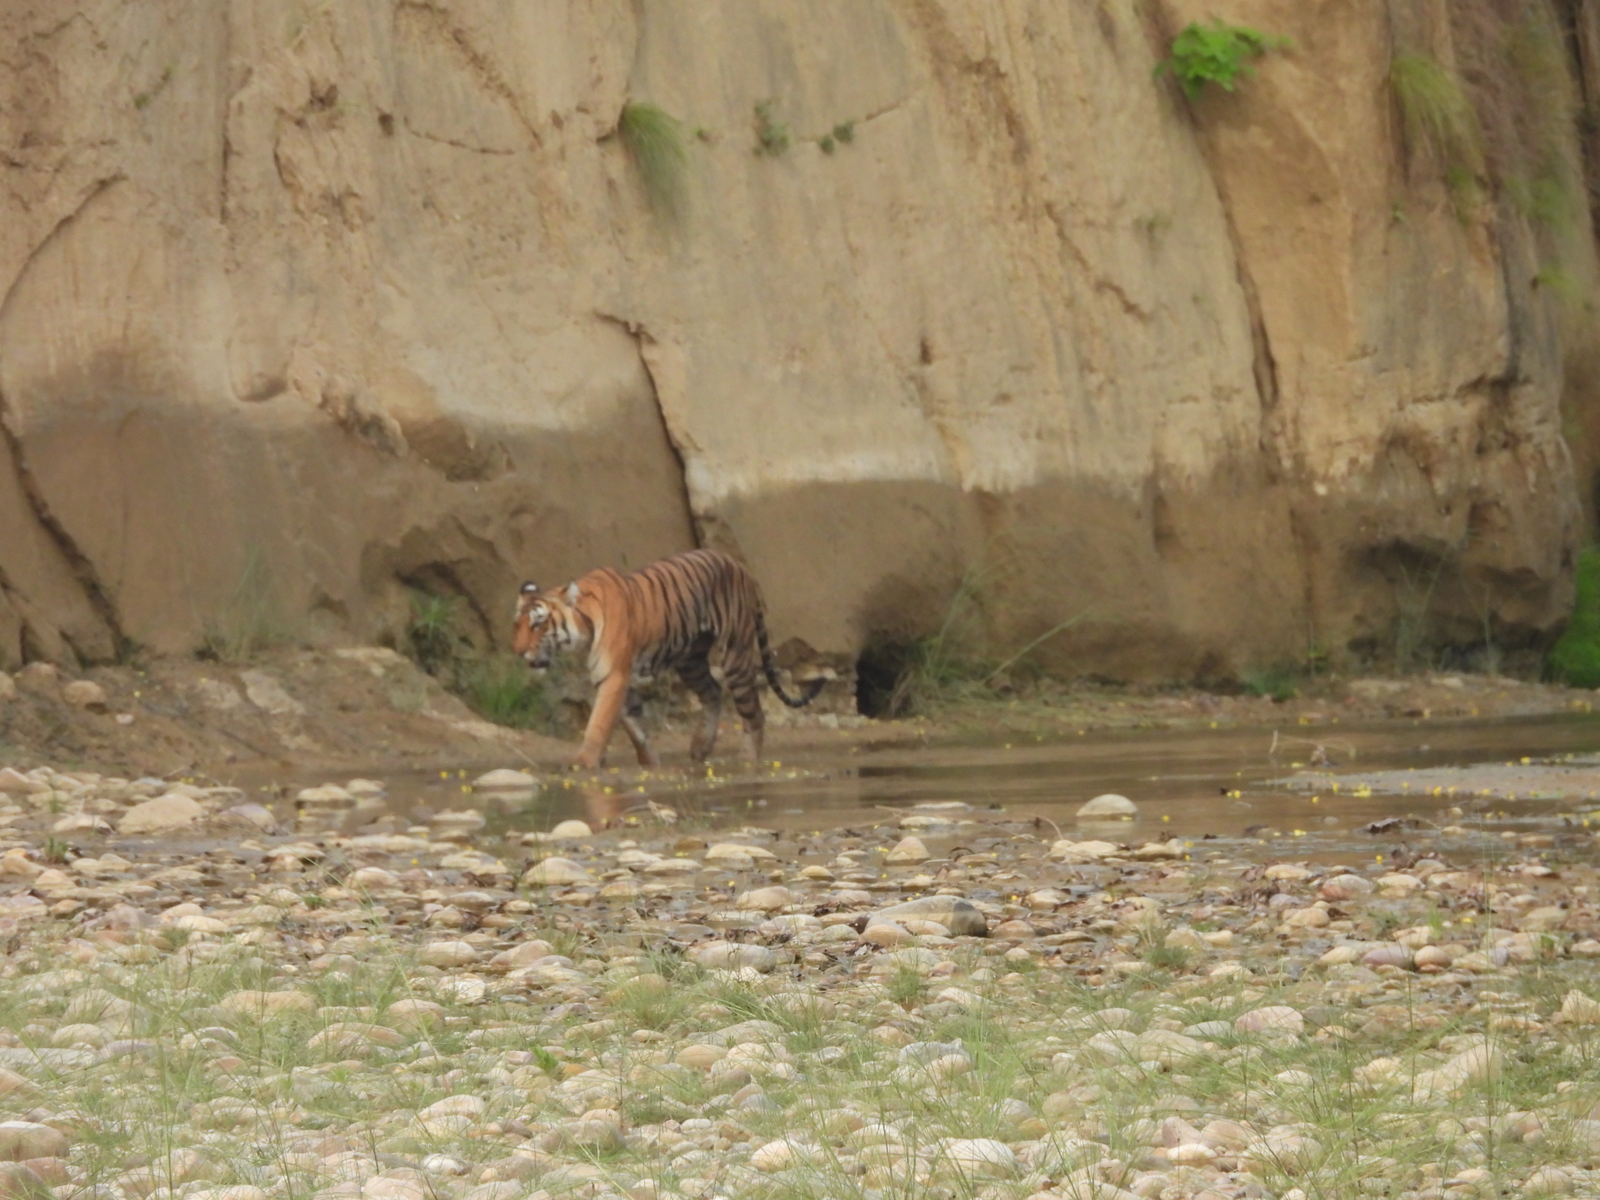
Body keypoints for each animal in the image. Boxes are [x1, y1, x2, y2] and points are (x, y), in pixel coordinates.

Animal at [512, 548, 825, 769]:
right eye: (518, 624)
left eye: (538, 624)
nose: (517, 651)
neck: (584, 629)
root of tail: (739, 566)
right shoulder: (620, 678)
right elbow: (633, 725)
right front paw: (650, 762)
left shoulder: (613, 675)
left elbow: (599, 721)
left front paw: (583, 762)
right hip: (690, 661)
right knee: (712, 692)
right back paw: (700, 746)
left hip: (735, 653)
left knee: (753, 712)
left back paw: (747, 758)